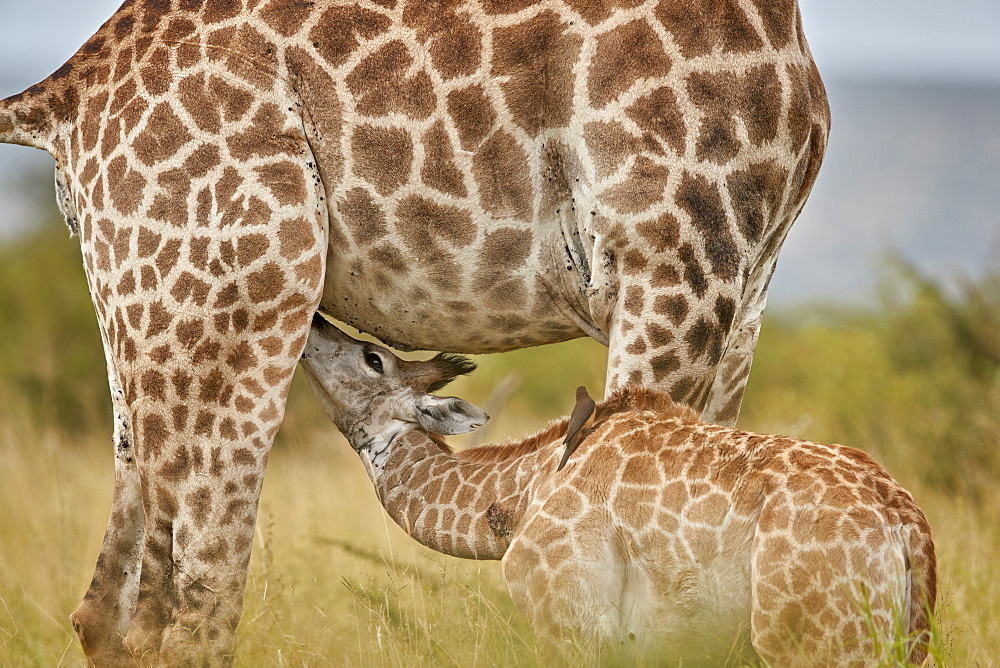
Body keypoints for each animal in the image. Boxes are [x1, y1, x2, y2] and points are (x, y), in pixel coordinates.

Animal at [0, 0, 828, 664]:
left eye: (373, 354)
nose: (330, 330)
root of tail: (62, 91)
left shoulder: (742, 301)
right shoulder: (674, 263)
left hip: (142, 315)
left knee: (109, 611)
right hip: (240, 293)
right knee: (189, 607)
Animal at [300, 316, 932, 664]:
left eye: (372, 357)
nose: (313, 324)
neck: (526, 488)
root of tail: (907, 525)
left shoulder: (571, 622)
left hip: (820, 640)